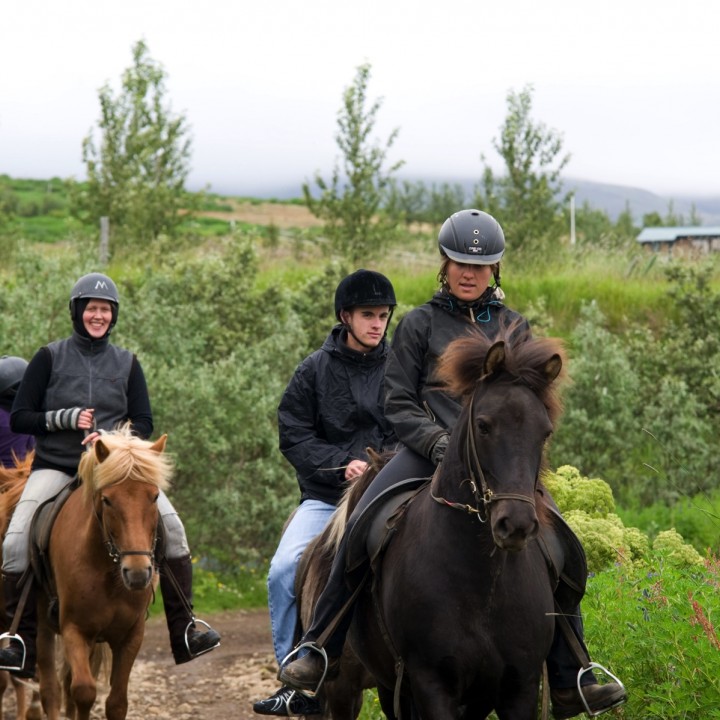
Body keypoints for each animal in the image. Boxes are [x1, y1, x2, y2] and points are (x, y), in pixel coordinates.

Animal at [0, 428, 171, 720]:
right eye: (107, 500)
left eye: (154, 496)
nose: (137, 573)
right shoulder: (74, 630)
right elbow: (83, 691)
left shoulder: (131, 634)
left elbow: (116, 702)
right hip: (43, 627)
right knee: (49, 690)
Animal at [348, 330, 572, 716]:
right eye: (483, 426)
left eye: (544, 432)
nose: (515, 524)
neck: (483, 581)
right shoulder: (432, 684)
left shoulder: (521, 686)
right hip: (389, 687)